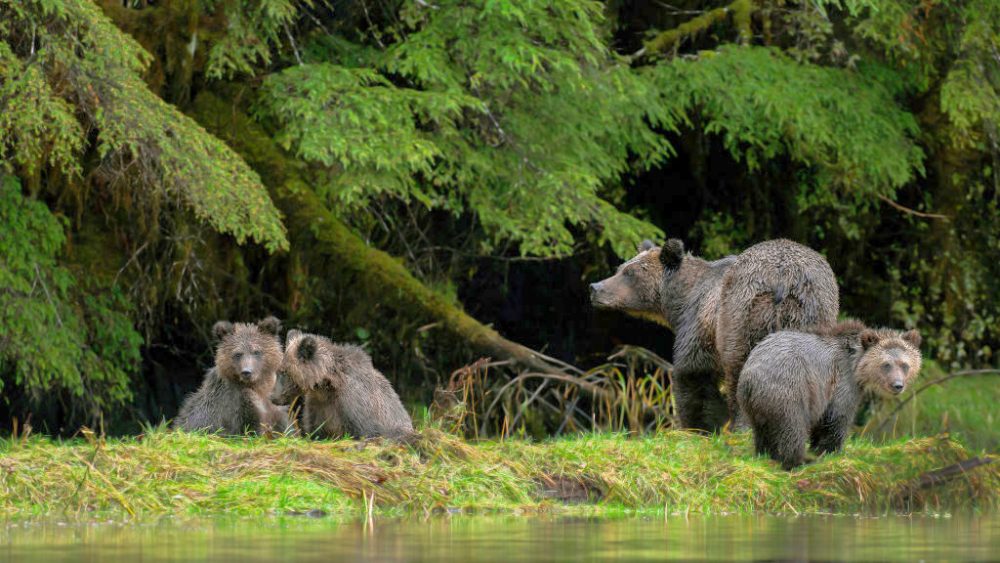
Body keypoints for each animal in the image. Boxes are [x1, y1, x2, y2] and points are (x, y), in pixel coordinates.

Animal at [272, 330, 412, 440]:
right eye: (279, 370)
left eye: (283, 372)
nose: (272, 397)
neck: (327, 386)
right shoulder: (317, 406)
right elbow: (314, 430)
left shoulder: (354, 406)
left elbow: (365, 431)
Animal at [588, 239, 840, 432]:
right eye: (620, 267)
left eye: (629, 273)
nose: (595, 287)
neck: (679, 302)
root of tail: (783, 278)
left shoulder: (699, 324)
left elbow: (694, 374)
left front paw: (699, 426)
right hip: (814, 312)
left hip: (742, 313)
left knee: (740, 368)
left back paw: (744, 425)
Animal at [736, 322, 920, 472]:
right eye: (886, 365)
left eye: (904, 365)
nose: (897, 385)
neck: (856, 365)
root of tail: (751, 377)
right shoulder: (841, 382)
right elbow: (837, 416)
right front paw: (830, 451)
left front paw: (819, 449)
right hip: (789, 388)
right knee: (793, 426)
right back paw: (798, 460)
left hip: (753, 404)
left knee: (762, 430)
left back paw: (766, 454)